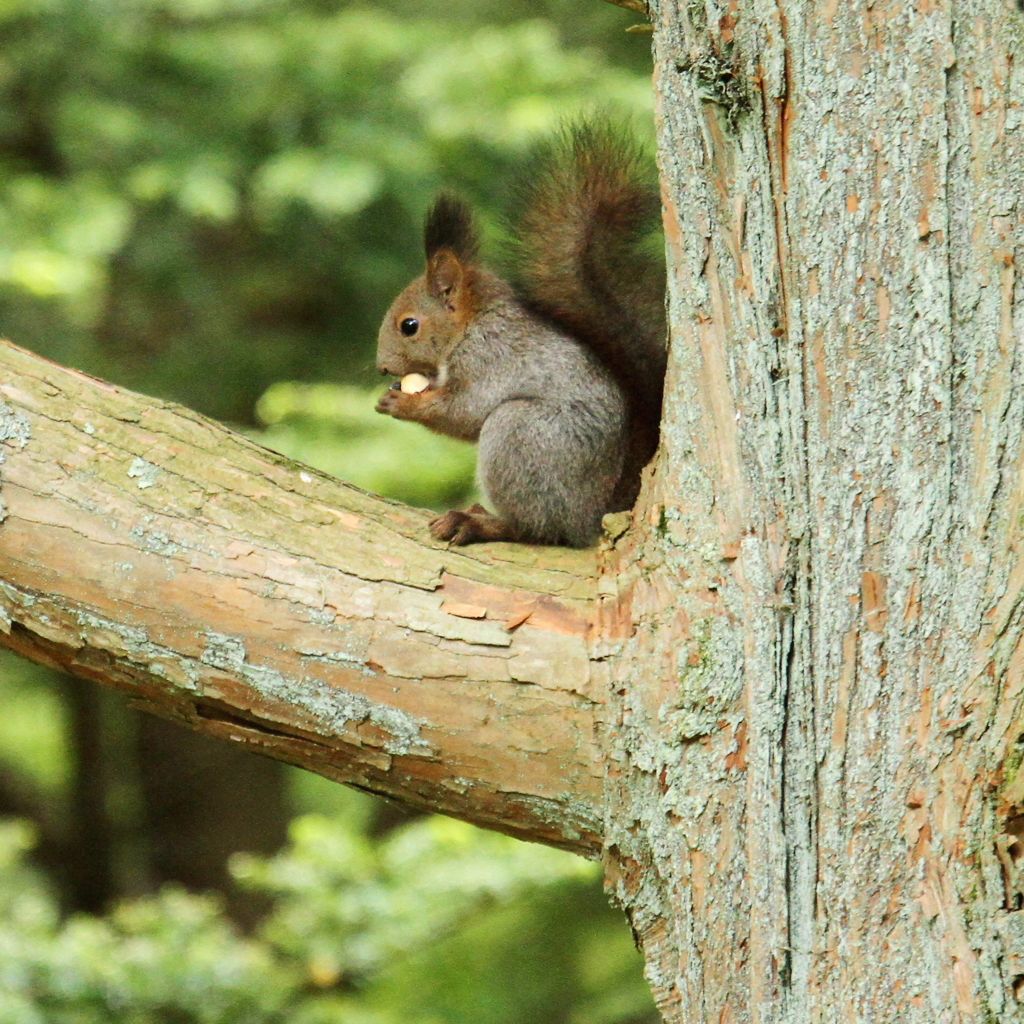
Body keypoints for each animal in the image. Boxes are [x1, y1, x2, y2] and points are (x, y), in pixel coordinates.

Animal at [374, 120, 663, 548]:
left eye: (409, 326)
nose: (382, 367)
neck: (472, 326)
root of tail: (593, 515)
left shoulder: (489, 357)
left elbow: (464, 411)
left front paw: (403, 404)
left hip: (522, 435)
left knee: (540, 529)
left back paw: (480, 523)